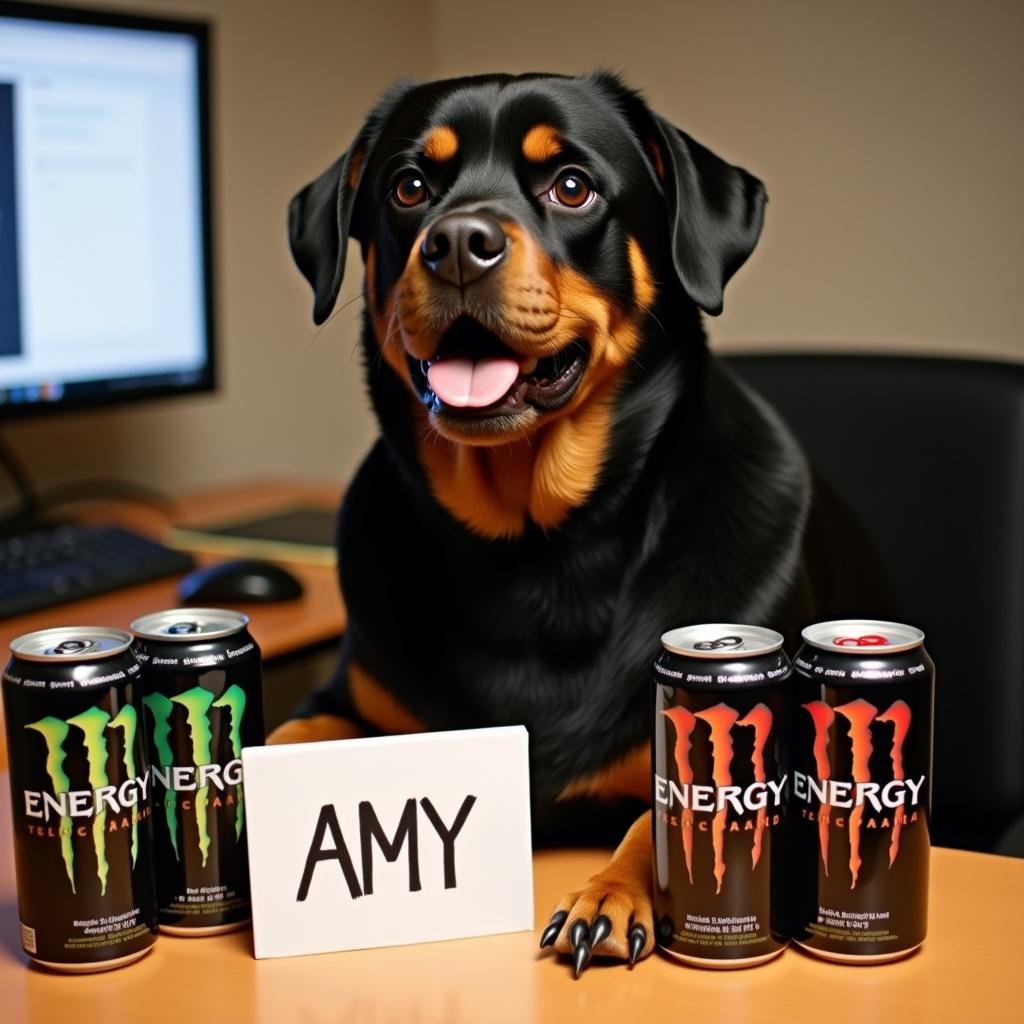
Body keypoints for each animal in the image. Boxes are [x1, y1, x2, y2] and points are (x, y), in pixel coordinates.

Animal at [274, 74, 880, 974]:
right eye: (409, 187)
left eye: (571, 186)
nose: (458, 243)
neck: (536, 547)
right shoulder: (352, 700)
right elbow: (288, 731)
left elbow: (659, 811)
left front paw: (610, 892)